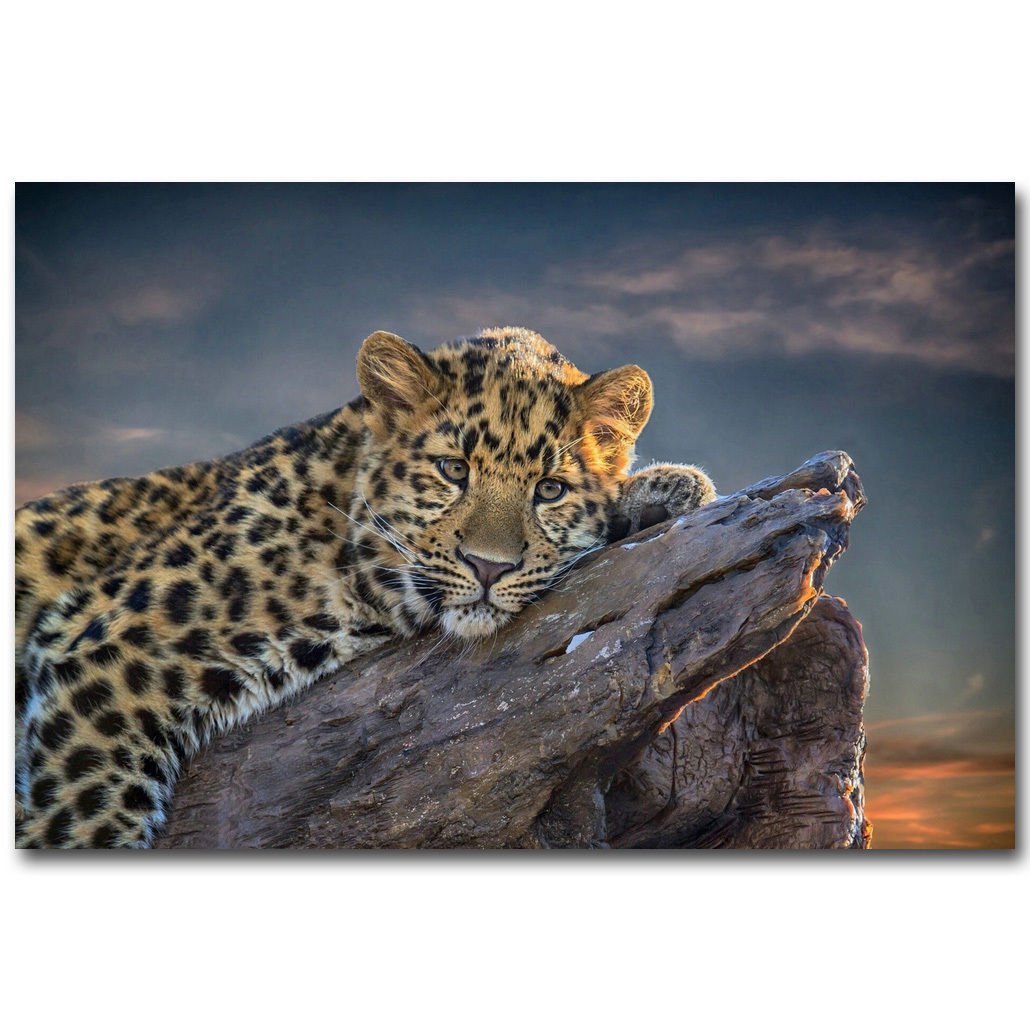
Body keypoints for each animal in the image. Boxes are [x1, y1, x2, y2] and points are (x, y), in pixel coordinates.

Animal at [15, 327, 715, 848]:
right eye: (451, 469)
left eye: (550, 490)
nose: (488, 567)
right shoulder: (101, 649)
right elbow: (81, 813)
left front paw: (666, 490)